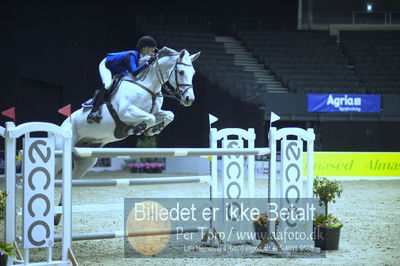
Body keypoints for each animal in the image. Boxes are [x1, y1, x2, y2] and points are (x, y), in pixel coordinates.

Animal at [54, 46, 200, 223]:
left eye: (193, 73)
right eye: (180, 71)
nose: (188, 99)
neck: (149, 87)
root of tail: (63, 126)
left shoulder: (156, 111)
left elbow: (168, 115)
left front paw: (153, 129)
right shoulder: (126, 111)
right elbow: (149, 118)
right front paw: (139, 128)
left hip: (86, 161)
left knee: (70, 181)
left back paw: (57, 215)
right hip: (59, 156)